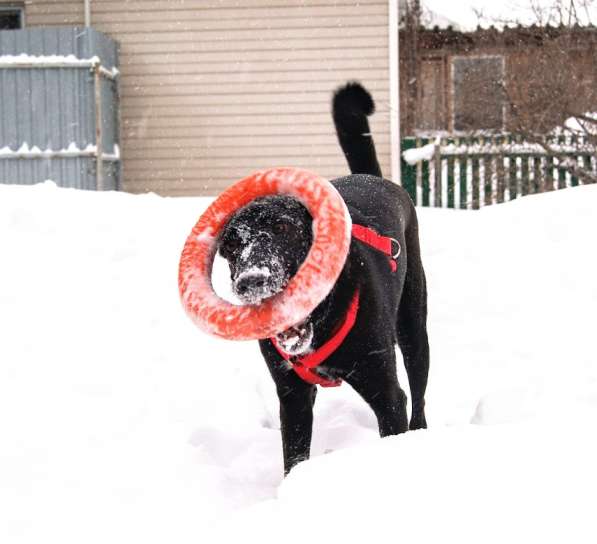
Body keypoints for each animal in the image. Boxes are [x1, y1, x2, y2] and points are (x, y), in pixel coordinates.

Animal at [219, 82, 428, 476]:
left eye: (284, 228)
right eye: (232, 244)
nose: (251, 281)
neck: (321, 317)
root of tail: (375, 179)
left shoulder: (387, 395)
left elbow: (397, 410)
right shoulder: (293, 396)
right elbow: (294, 457)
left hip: (414, 328)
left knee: (419, 393)